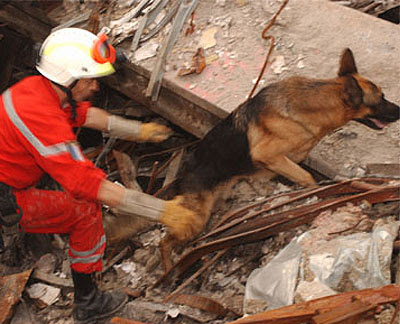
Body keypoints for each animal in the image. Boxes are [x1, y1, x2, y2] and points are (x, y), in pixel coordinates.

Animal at [155, 47, 396, 270]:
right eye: (381, 99)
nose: (399, 111)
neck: (315, 103)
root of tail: (182, 176)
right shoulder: (267, 154)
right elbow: (307, 176)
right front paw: (312, 196)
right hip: (194, 220)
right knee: (163, 243)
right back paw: (168, 272)